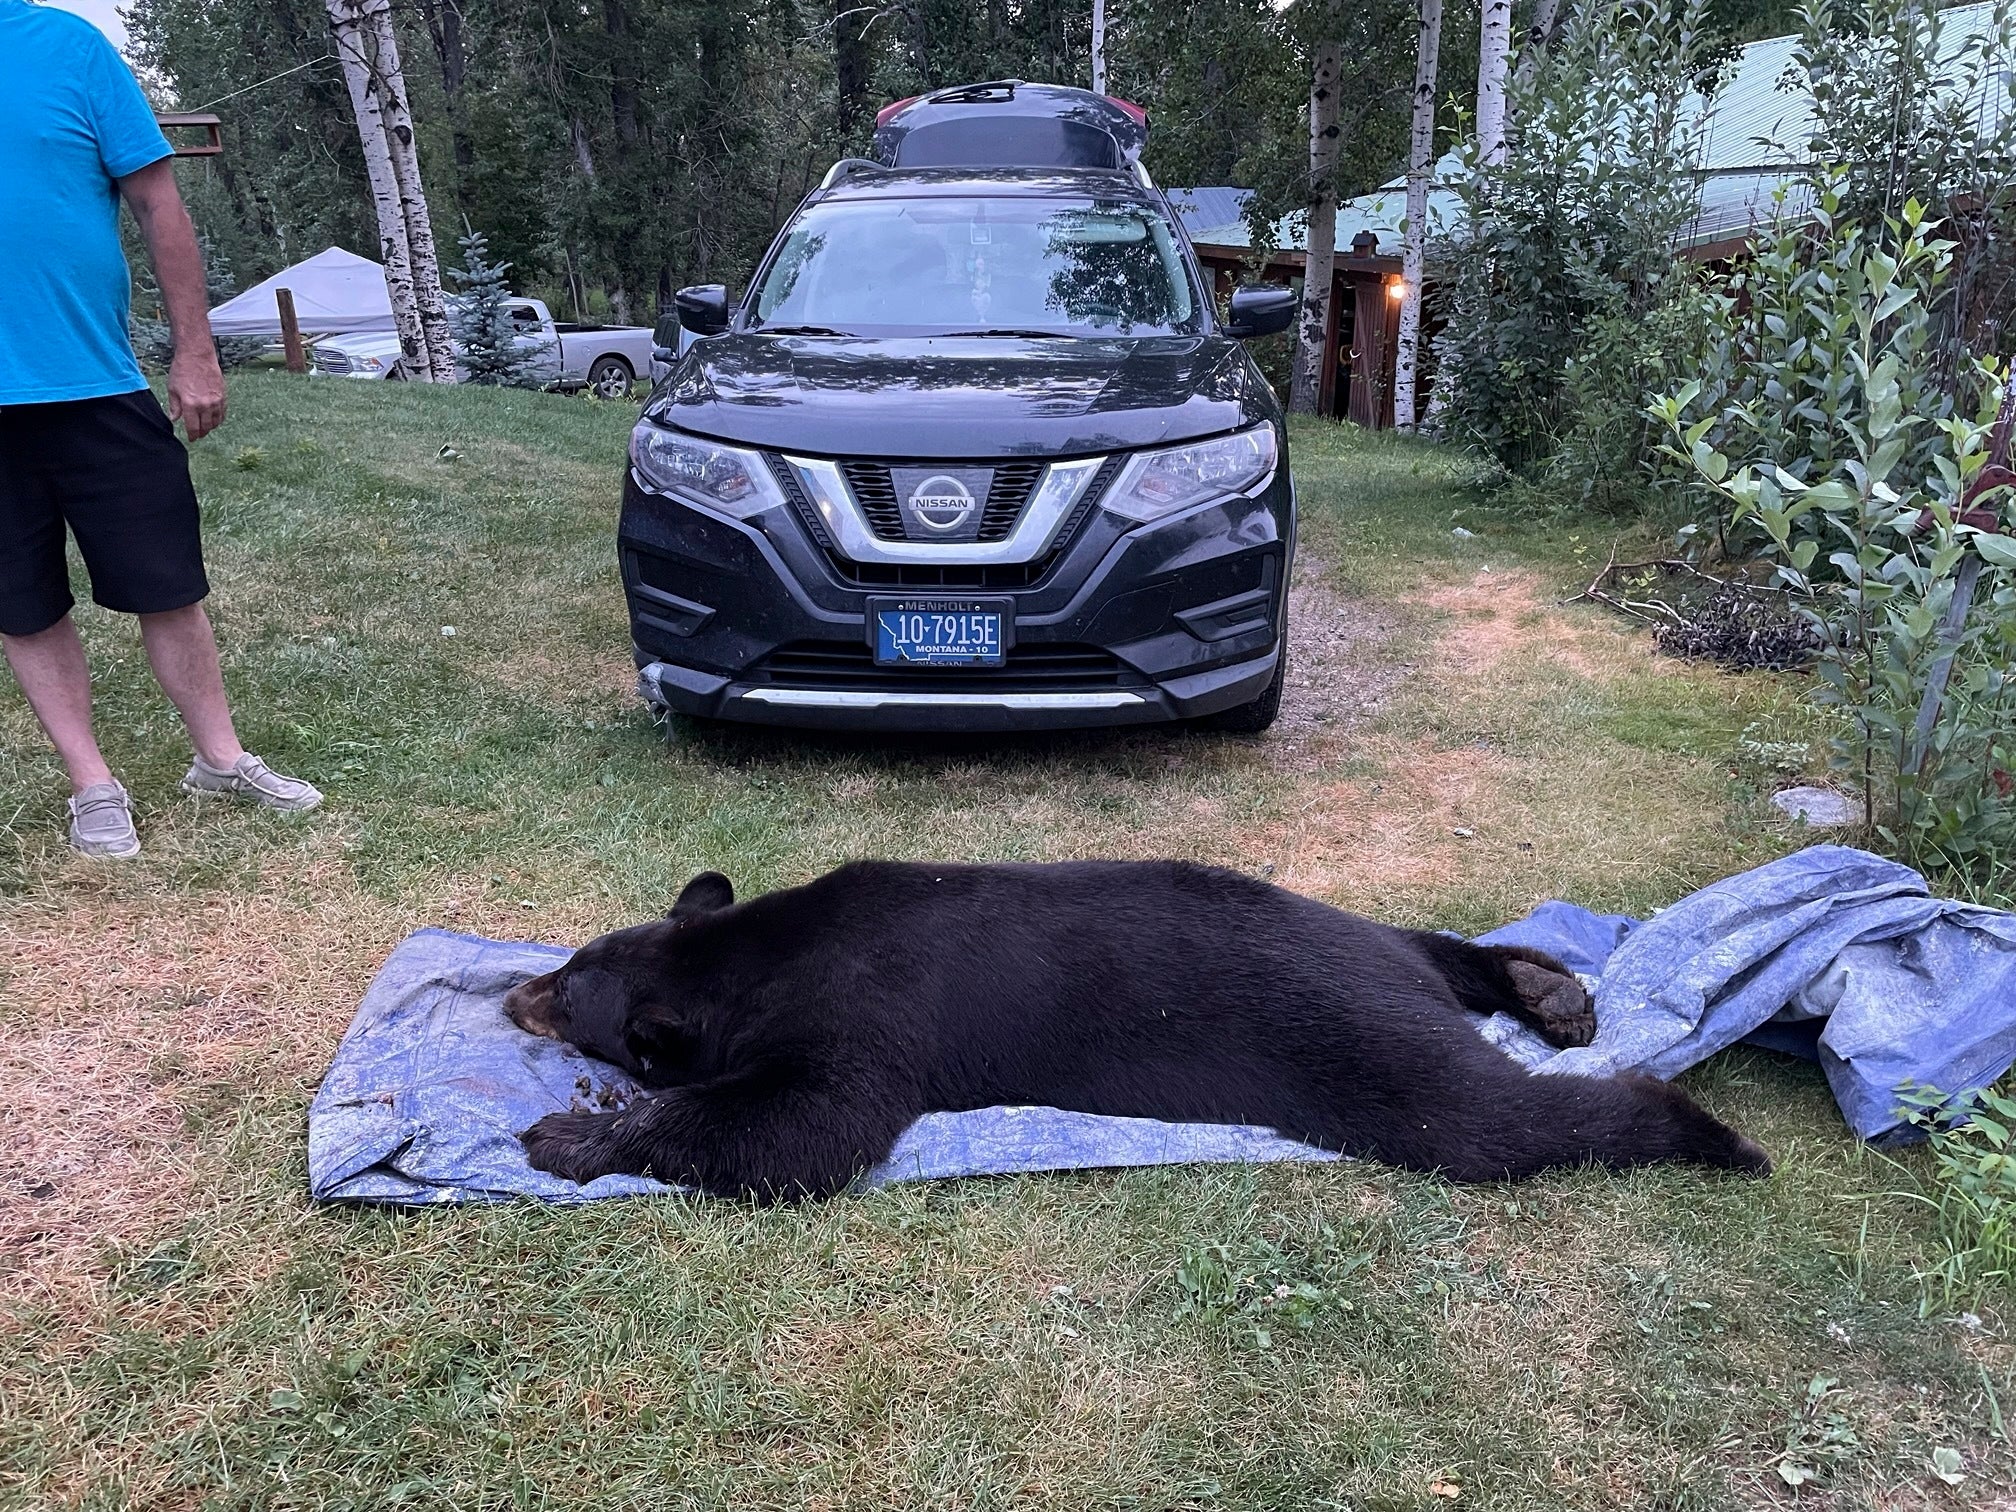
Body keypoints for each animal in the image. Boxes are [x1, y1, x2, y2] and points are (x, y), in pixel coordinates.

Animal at [505, 859, 1770, 1198]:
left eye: (568, 995)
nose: (511, 990)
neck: (753, 959)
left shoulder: (866, 1019)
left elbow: (803, 1128)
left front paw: (568, 1137)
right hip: (1367, 938)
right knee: (1433, 945)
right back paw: (1547, 990)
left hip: (1369, 1046)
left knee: (1489, 1118)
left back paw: (1701, 1128)